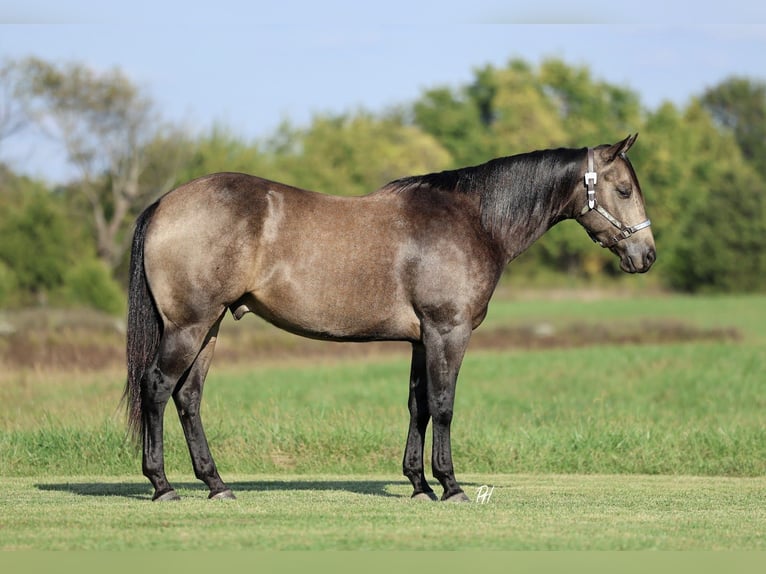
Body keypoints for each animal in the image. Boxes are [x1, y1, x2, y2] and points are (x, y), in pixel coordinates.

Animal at [124, 134, 655, 502]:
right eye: (624, 189)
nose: (646, 255)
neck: (473, 220)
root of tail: (164, 204)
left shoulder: (422, 339)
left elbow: (417, 406)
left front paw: (419, 485)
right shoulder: (448, 332)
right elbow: (443, 405)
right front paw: (451, 485)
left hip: (209, 328)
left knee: (188, 398)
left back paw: (217, 484)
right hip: (189, 327)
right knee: (157, 388)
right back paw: (162, 485)